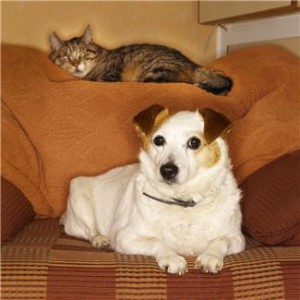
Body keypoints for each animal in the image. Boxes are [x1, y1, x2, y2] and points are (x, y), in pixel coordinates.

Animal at [48, 25, 232, 94]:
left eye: (83, 54)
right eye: (66, 57)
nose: (76, 64)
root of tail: (194, 65)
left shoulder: (110, 73)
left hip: (155, 71)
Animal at [59, 105, 245, 274]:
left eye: (194, 142)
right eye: (159, 140)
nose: (167, 170)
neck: (182, 201)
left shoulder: (238, 239)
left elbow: (221, 240)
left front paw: (210, 256)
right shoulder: (126, 238)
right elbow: (156, 241)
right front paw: (172, 258)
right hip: (78, 195)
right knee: (90, 231)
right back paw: (100, 240)